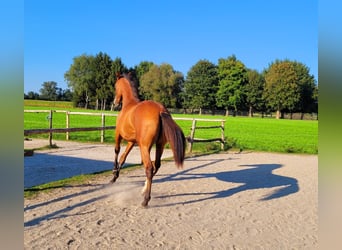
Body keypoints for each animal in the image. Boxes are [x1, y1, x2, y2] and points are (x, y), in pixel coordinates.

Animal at [111, 73, 186, 207]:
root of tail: (161, 110)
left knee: (149, 168)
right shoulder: (132, 141)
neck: (129, 105)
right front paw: (116, 174)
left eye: (115, 86)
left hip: (145, 147)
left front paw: (114, 174)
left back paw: (145, 199)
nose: (115, 103)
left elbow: (117, 151)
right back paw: (143, 190)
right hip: (159, 145)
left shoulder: (118, 134)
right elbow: (123, 157)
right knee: (156, 165)